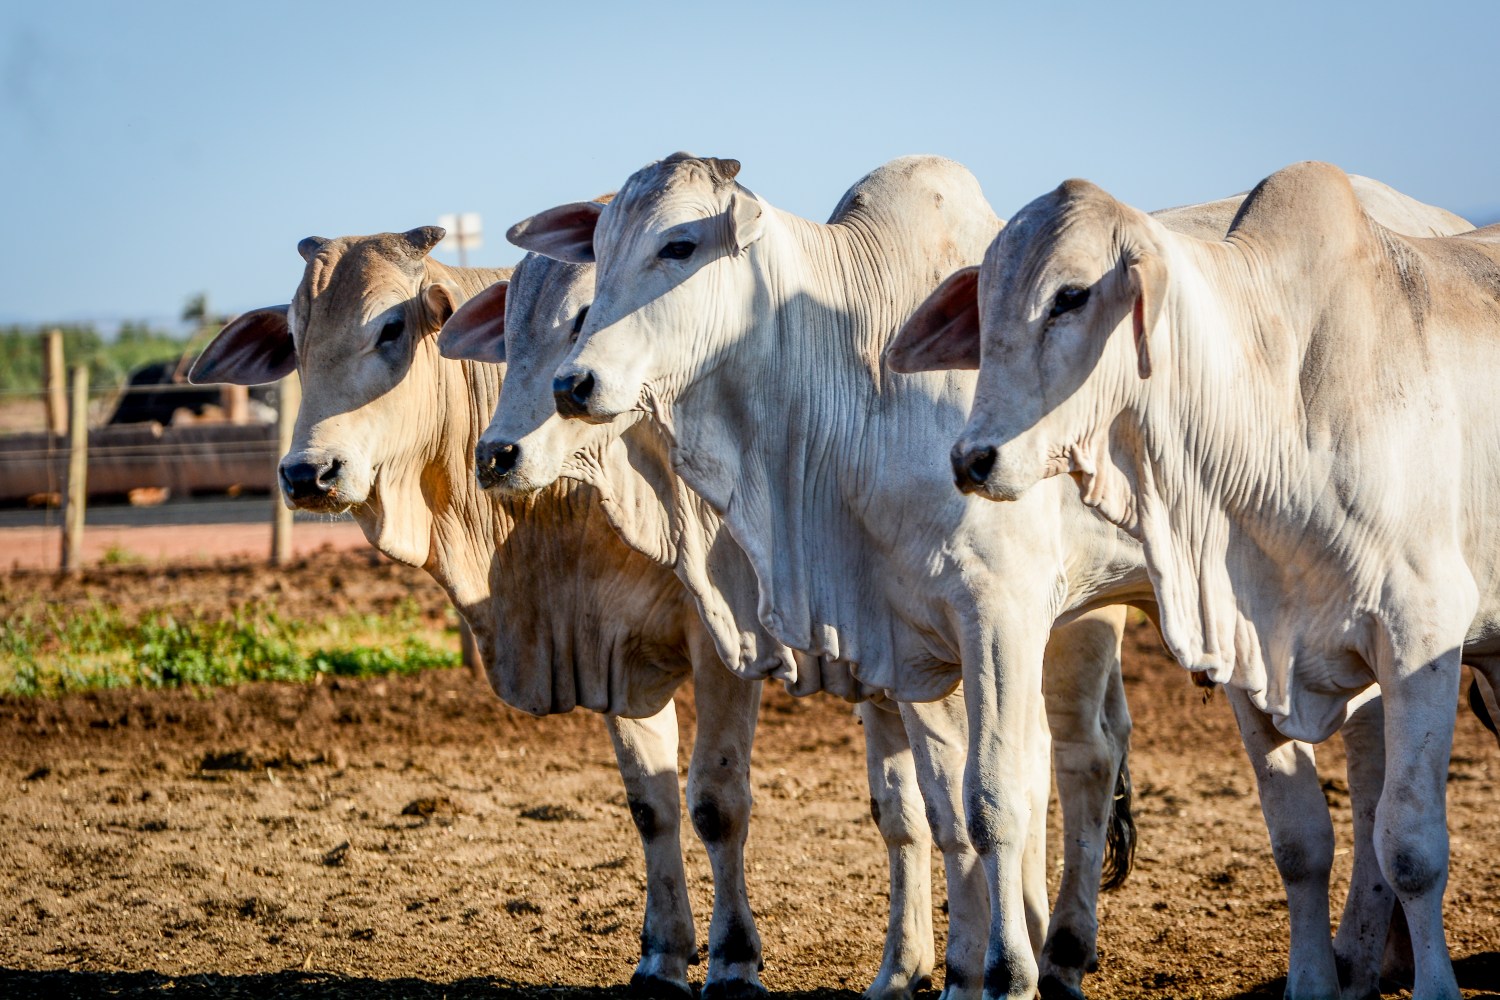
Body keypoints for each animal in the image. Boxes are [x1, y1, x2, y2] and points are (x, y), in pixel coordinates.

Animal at [187, 230, 768, 1000]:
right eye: (294, 334)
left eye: (391, 328)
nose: (307, 473)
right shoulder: (610, 651)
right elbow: (652, 804)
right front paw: (662, 957)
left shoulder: (725, 640)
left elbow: (716, 802)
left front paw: (733, 961)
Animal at [942, 160, 1500, 995]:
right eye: (982, 306)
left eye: (1071, 295)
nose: (973, 459)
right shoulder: (1248, 655)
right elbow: (1299, 841)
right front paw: (1312, 983)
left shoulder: (1421, 636)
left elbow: (1410, 847)